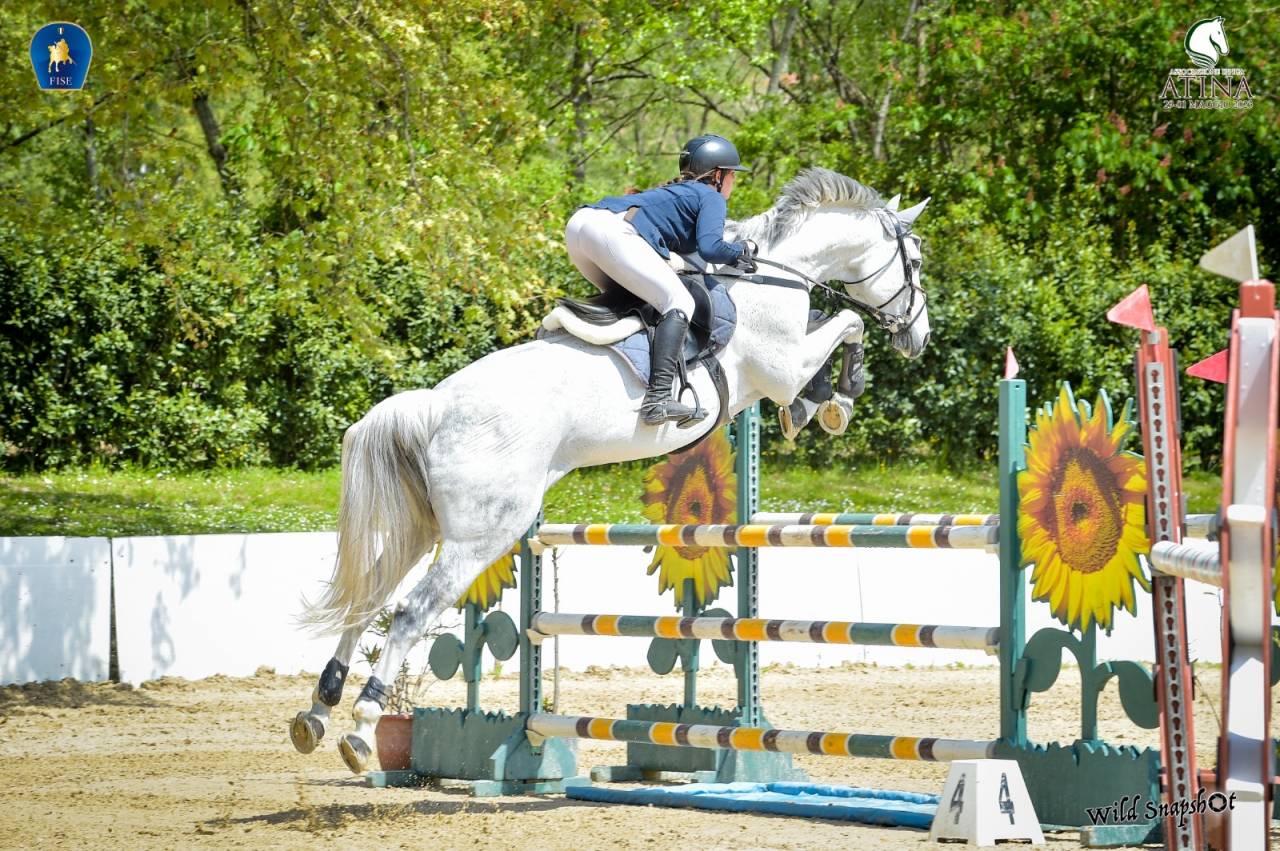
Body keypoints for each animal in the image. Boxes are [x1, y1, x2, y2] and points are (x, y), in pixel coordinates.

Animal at [289, 167, 932, 773]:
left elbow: (834, 329)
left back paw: (318, 712)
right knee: (409, 612)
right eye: (917, 262)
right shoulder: (782, 364)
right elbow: (846, 324)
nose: (918, 339)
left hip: (424, 526)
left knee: (371, 595)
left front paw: (815, 406)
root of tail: (437, 406)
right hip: (483, 535)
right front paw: (836, 399)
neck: (776, 274)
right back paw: (360, 728)